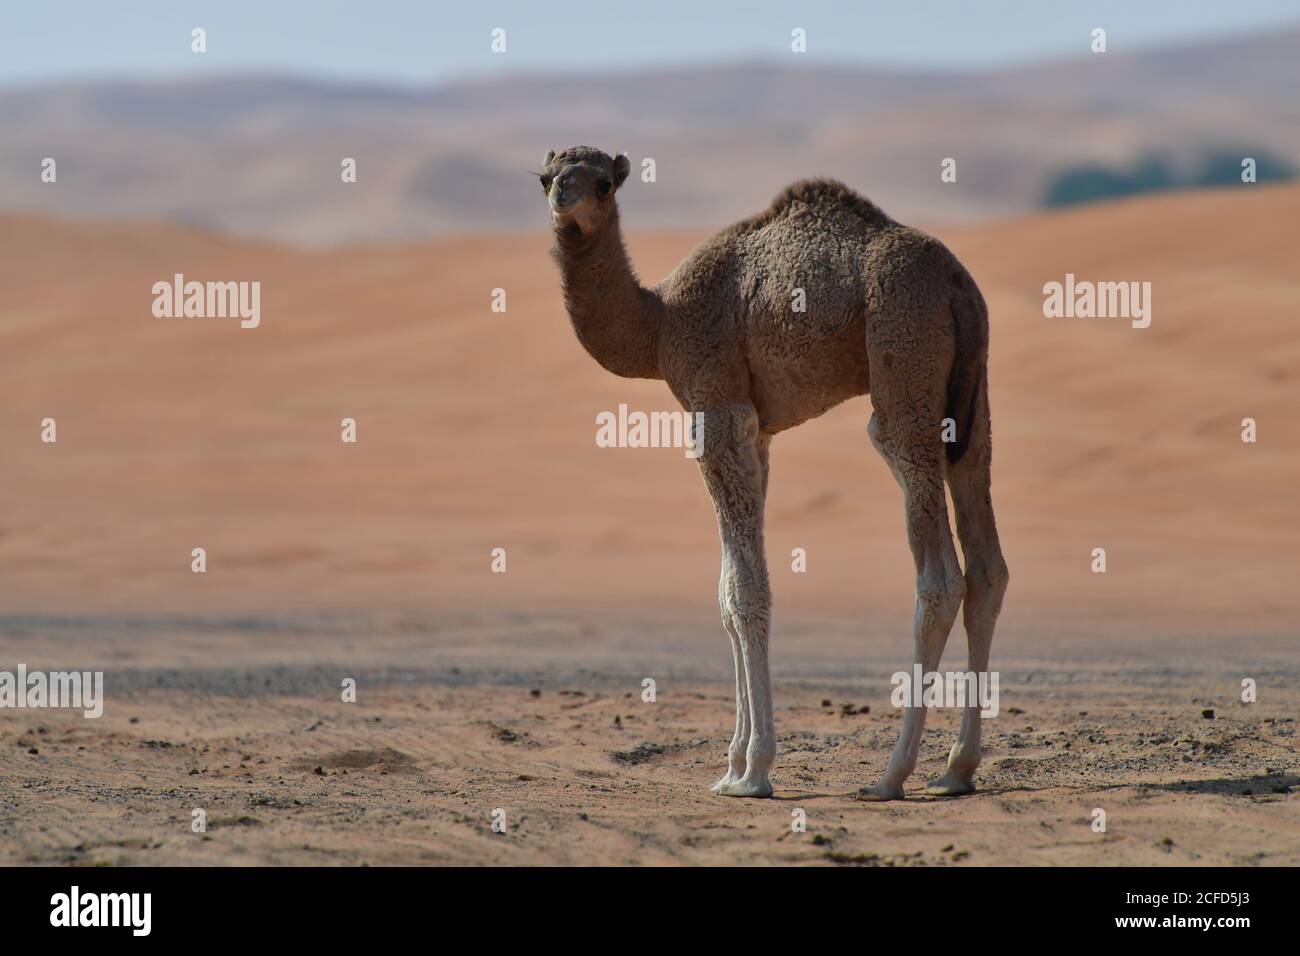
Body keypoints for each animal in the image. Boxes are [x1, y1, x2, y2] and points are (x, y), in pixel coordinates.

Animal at [539, 146, 1008, 800]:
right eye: (546, 175)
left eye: (604, 183)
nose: (565, 195)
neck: (658, 321)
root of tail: (957, 285)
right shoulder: (756, 430)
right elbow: (726, 591)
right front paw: (732, 763)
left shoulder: (716, 406)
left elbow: (744, 591)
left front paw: (753, 771)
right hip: (974, 394)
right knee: (988, 565)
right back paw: (958, 769)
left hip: (903, 360)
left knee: (939, 573)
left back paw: (891, 775)